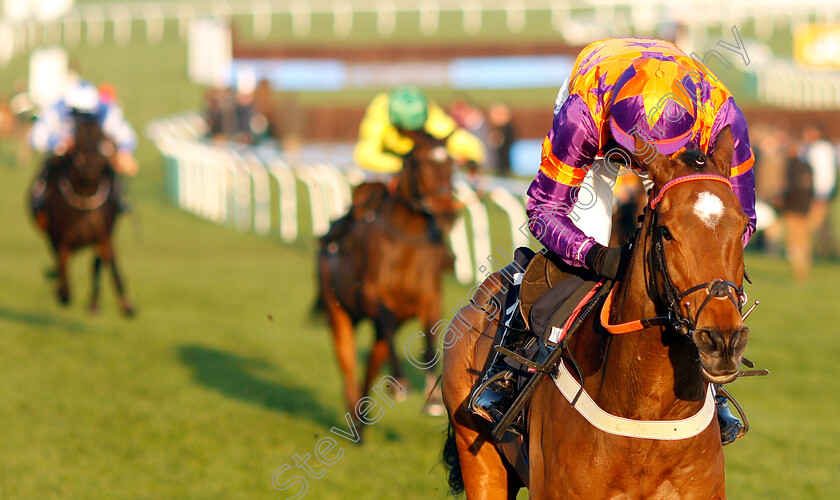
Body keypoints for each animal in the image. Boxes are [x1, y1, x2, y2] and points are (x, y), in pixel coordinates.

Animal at [31, 116, 134, 316]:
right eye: (77, 136)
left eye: (100, 137)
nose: (89, 164)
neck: (84, 197)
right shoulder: (60, 237)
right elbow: (63, 266)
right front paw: (62, 292)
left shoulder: (104, 235)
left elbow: (109, 264)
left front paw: (126, 305)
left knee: (97, 263)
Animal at [316, 130, 462, 422]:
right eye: (418, 162)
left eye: (450, 162)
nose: (446, 209)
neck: (407, 238)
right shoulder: (372, 296)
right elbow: (384, 316)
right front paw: (400, 383)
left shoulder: (430, 298)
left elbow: (430, 339)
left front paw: (433, 399)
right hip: (338, 313)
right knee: (349, 368)